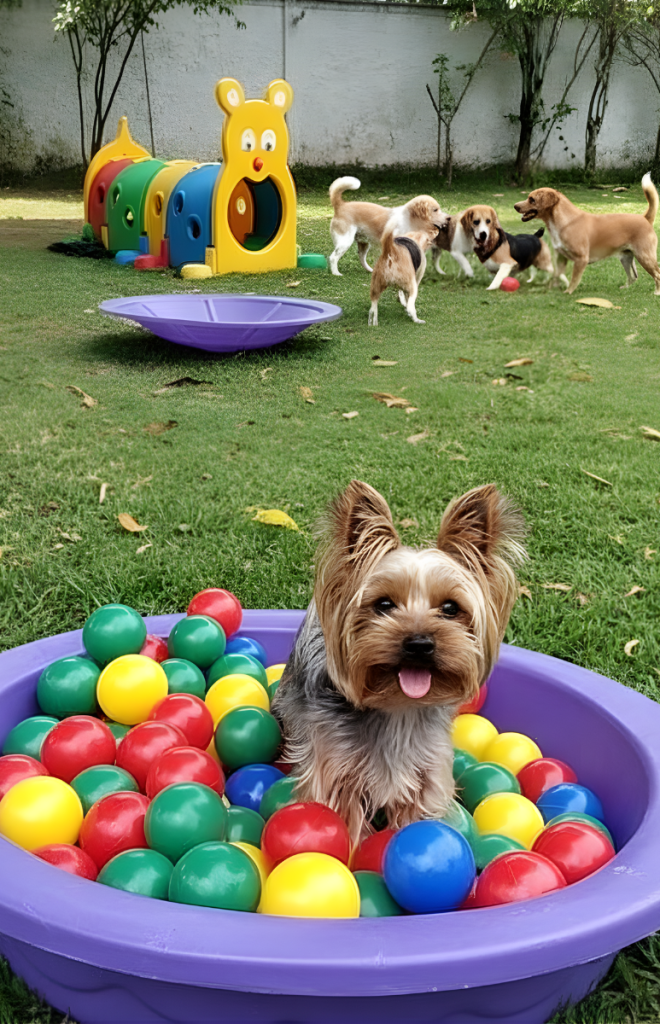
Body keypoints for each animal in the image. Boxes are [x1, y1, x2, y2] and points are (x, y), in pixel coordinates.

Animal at [271, 480, 526, 844]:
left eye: (450, 608)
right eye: (383, 604)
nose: (419, 643)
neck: (397, 706)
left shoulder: (428, 775)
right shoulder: (333, 767)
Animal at [514, 174, 660, 295]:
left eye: (532, 199)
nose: (515, 206)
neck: (565, 222)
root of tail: (645, 218)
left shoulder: (581, 259)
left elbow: (574, 279)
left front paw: (568, 292)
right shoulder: (561, 258)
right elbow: (556, 275)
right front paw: (551, 290)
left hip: (645, 257)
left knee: (657, 274)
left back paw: (656, 292)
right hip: (626, 257)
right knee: (634, 277)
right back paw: (625, 288)